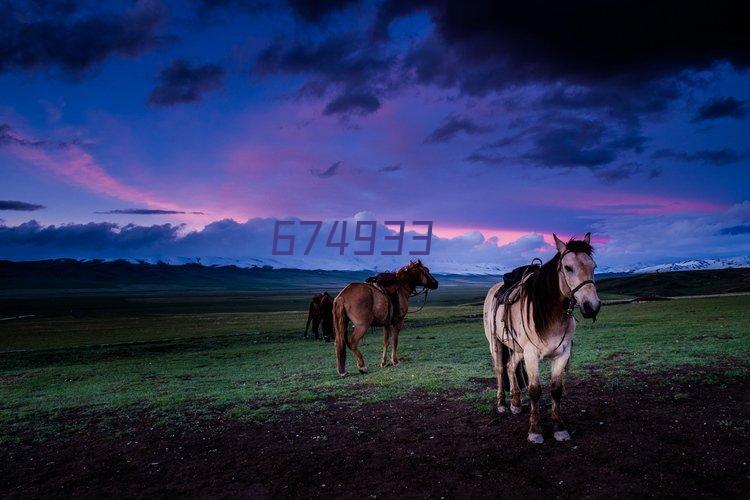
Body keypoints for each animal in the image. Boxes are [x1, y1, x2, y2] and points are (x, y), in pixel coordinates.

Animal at [484, 232, 604, 444]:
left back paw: (515, 403)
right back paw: (501, 404)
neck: (550, 314)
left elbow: (556, 389)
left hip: (518, 348)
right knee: (499, 369)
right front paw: (535, 431)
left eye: (594, 266)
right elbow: (535, 390)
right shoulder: (532, 355)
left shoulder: (563, 353)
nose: (592, 306)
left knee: (511, 366)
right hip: (496, 343)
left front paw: (559, 428)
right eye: (568, 267)